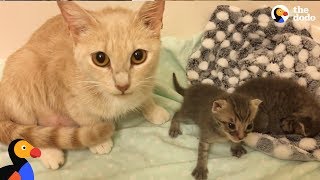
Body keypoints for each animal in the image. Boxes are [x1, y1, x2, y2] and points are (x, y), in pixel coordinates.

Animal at [0, 0, 170, 169]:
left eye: (138, 56)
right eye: (100, 58)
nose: (122, 85)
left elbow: (145, 95)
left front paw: (153, 108)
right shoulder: (70, 98)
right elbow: (87, 119)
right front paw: (99, 140)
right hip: (22, 70)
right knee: (30, 131)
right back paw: (50, 152)